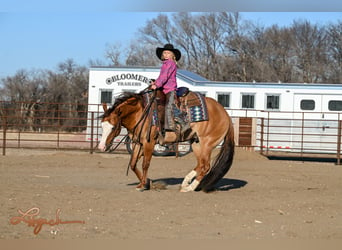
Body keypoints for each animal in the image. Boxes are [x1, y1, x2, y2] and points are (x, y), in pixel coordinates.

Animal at [97, 89, 234, 192]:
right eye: (102, 125)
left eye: (113, 127)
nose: (101, 147)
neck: (140, 112)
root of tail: (225, 113)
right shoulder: (138, 143)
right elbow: (133, 164)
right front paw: (147, 183)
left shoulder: (148, 143)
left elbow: (145, 164)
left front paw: (143, 185)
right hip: (196, 144)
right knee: (201, 165)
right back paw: (185, 183)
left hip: (207, 144)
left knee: (205, 166)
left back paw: (189, 188)